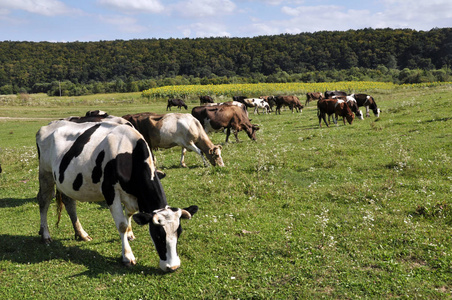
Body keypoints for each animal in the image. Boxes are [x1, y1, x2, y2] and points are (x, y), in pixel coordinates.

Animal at [35, 119, 198, 272]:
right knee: (43, 201)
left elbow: (129, 214)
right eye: (158, 235)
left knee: (69, 203)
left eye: (179, 232)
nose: (173, 266)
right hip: (45, 172)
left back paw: (81, 234)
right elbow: (122, 225)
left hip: (66, 182)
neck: (129, 153)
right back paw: (46, 235)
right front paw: (127, 256)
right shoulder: (110, 192)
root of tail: (50, 124)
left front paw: (130, 234)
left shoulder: (131, 196)